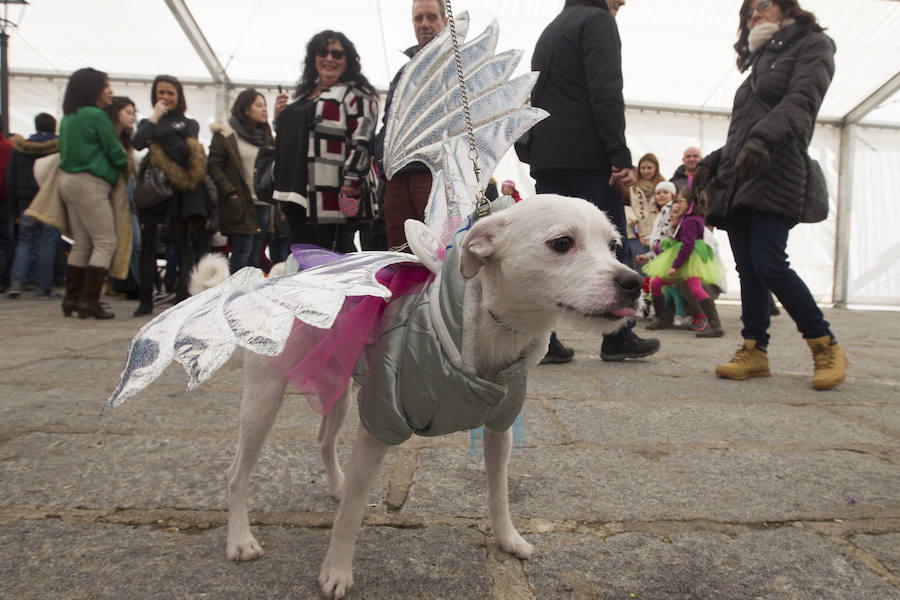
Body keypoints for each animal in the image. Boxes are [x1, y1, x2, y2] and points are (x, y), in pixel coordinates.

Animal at [200, 195, 644, 596]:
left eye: (614, 246)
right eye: (562, 243)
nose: (634, 282)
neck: (492, 330)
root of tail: (276, 268)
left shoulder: (499, 427)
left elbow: (498, 492)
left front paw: (508, 539)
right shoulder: (379, 422)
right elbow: (352, 513)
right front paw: (336, 570)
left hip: (338, 389)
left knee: (324, 439)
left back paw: (336, 484)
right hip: (264, 398)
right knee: (236, 473)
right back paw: (240, 540)